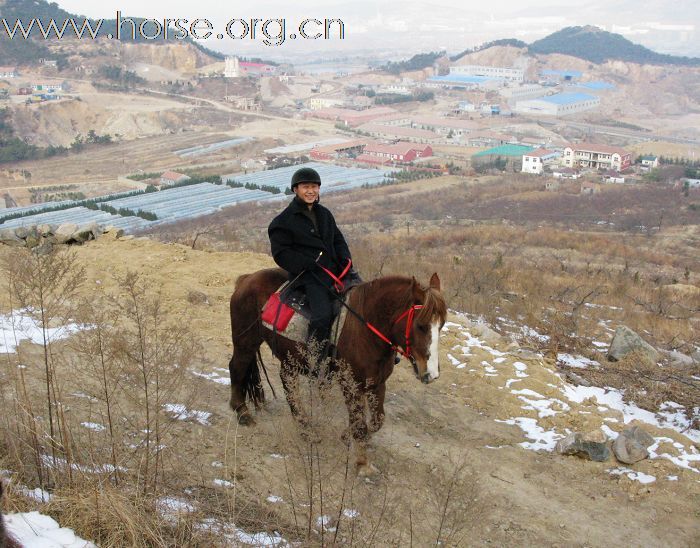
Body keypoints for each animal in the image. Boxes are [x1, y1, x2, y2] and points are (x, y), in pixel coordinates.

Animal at [230, 268, 448, 474]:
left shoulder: (377, 383)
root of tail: (247, 278)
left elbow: (377, 420)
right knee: (237, 367)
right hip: (246, 341)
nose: (430, 374)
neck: (365, 328)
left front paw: (347, 435)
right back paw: (242, 412)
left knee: (288, 384)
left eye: (442, 325)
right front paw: (363, 464)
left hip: (289, 357)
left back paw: (305, 429)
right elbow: (360, 424)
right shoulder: (350, 385)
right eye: (420, 326)